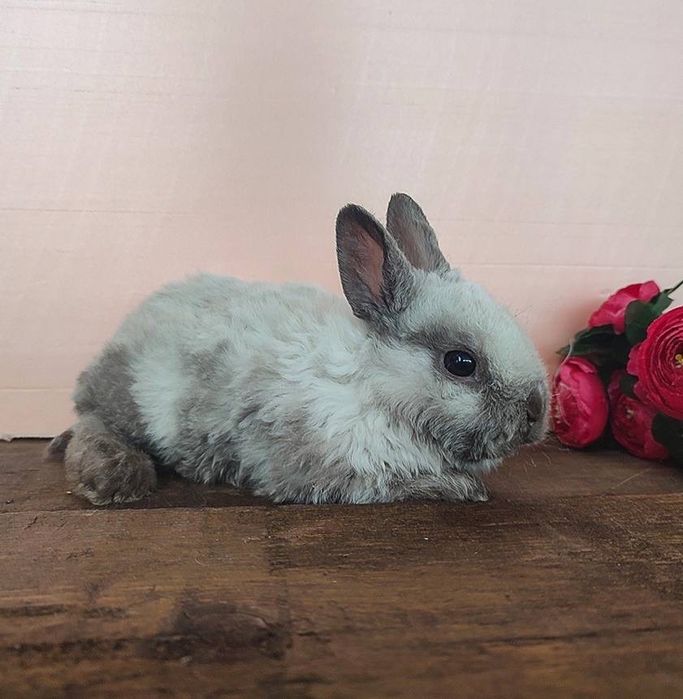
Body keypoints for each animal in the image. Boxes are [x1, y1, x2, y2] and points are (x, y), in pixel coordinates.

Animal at [48, 193, 549, 505]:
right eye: (461, 363)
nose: (537, 410)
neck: (374, 389)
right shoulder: (323, 469)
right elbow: (382, 485)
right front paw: (457, 489)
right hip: (134, 400)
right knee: (90, 423)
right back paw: (114, 478)